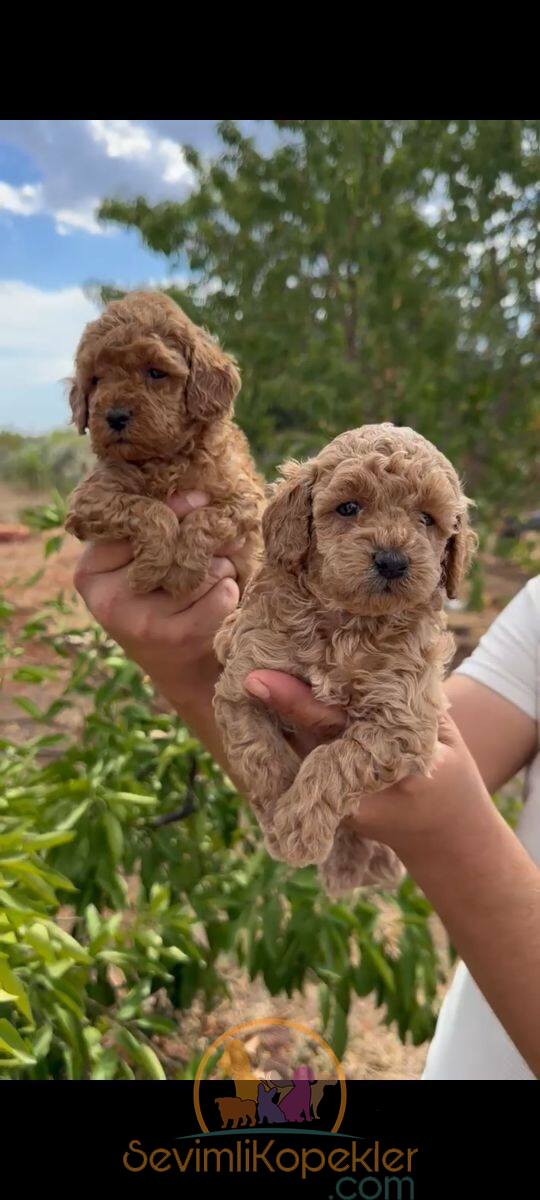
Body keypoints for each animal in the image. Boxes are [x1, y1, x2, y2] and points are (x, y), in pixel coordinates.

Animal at [64, 291, 266, 600]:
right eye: (96, 380)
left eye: (156, 372)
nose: (115, 416)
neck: (164, 460)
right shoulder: (90, 497)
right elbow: (151, 509)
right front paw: (148, 571)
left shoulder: (247, 497)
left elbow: (206, 517)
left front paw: (182, 572)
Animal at [213, 427, 475, 897]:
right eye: (349, 507)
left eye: (427, 518)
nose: (392, 560)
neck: (346, 623)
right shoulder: (245, 678)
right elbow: (260, 752)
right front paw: (278, 809)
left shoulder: (402, 720)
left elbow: (333, 759)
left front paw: (298, 827)